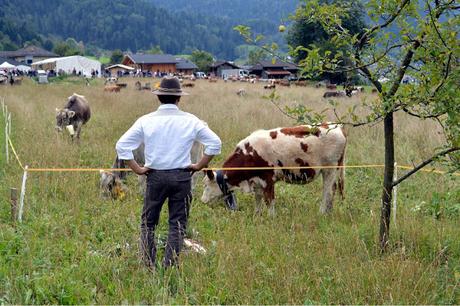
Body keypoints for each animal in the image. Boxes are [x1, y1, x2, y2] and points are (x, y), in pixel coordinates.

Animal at [199, 123, 346, 214]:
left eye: (206, 185)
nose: (202, 200)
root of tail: (336, 126)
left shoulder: (268, 179)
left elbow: (269, 201)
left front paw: (271, 217)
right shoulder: (257, 180)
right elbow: (258, 199)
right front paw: (257, 215)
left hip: (329, 169)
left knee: (327, 191)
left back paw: (322, 212)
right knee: (332, 190)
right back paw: (329, 212)